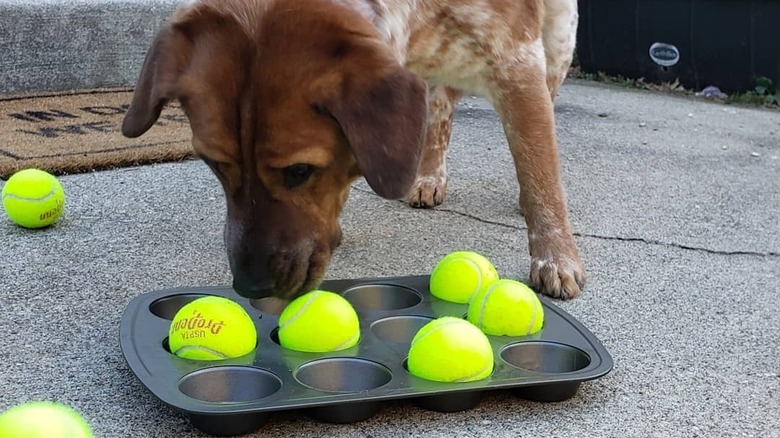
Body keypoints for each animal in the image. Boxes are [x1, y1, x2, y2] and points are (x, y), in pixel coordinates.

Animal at [122, 0, 584, 302]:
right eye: (215, 165)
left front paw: (556, 258)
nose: (249, 288)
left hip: (558, 45)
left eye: (299, 171)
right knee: (439, 113)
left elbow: (539, 171)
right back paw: (428, 176)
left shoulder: (518, 62)